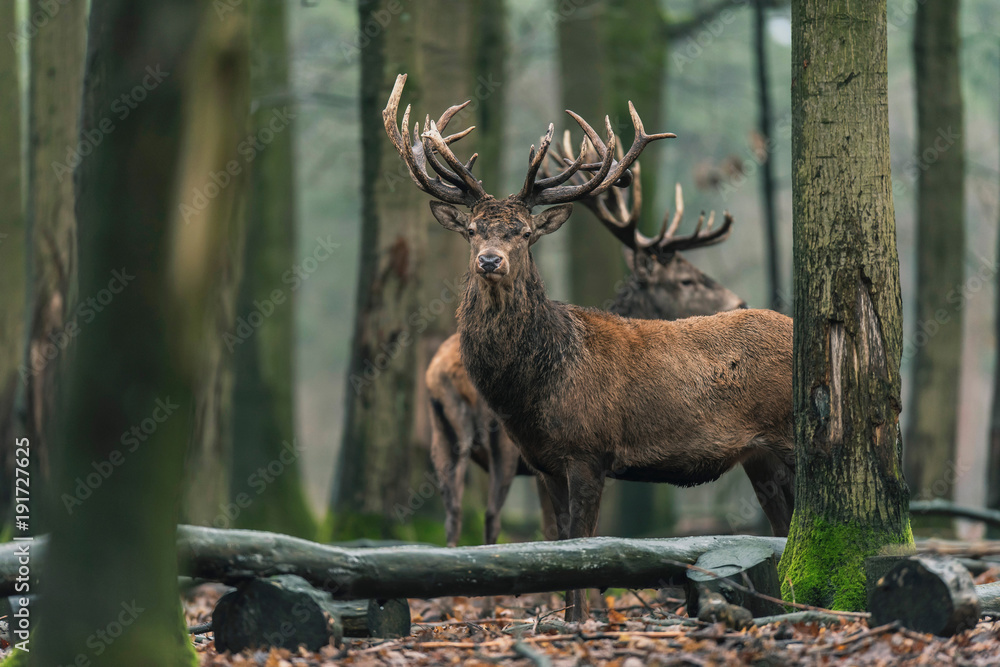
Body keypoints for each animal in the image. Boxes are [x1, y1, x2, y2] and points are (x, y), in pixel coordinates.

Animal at [427, 141, 746, 549]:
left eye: (525, 232)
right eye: (685, 280)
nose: (738, 303)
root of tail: (440, 374)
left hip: (443, 439)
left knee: (453, 514)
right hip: (500, 445)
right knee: (490, 514)